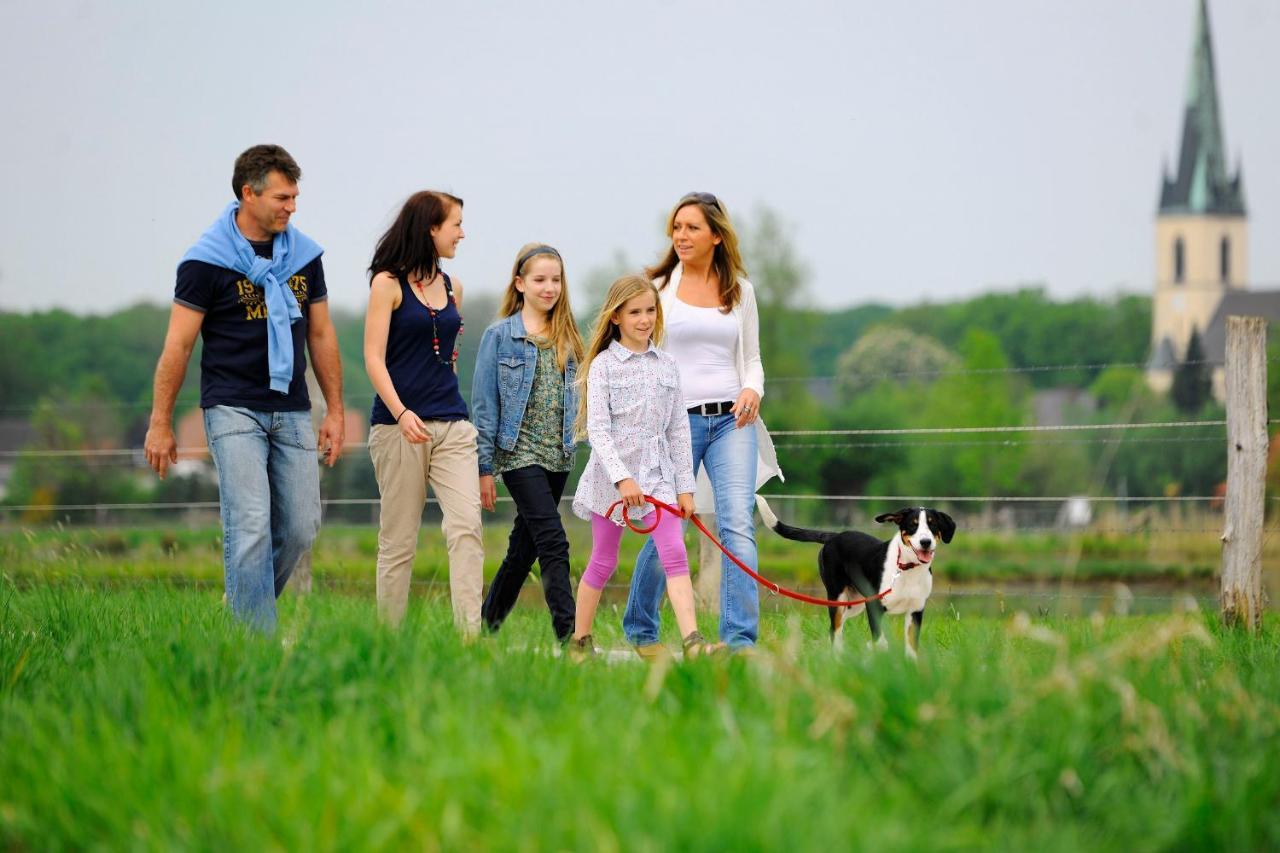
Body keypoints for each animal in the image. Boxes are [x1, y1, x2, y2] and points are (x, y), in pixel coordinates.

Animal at [752, 494, 957, 653]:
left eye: (933, 525)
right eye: (913, 525)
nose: (925, 542)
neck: (906, 569)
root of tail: (834, 536)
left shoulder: (915, 610)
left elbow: (912, 648)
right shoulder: (874, 606)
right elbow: (880, 642)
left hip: (854, 603)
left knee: (836, 628)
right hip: (837, 597)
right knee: (835, 630)